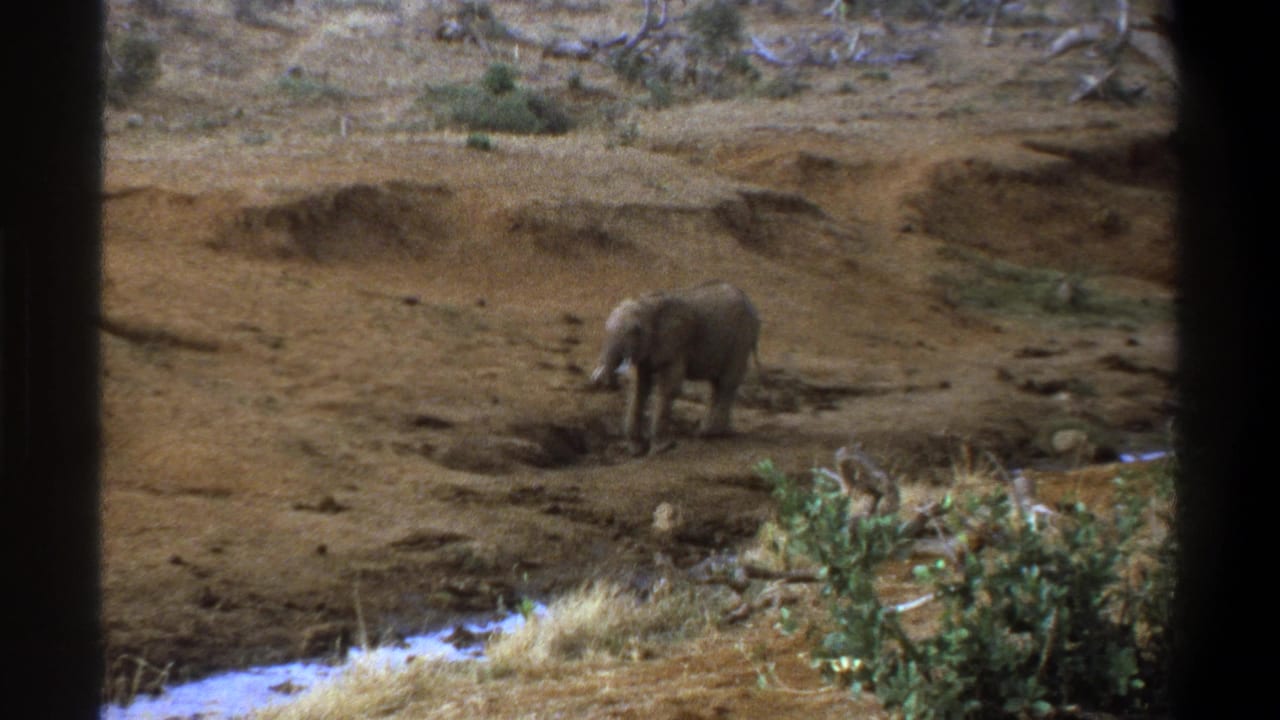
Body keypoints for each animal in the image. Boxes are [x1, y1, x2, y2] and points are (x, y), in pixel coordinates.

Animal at [590, 281, 760, 455]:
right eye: (606, 330)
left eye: (636, 331)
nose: (604, 383)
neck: (646, 305)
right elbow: (639, 387)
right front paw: (635, 450)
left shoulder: (676, 343)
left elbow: (669, 386)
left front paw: (661, 449)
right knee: (716, 384)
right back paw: (713, 432)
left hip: (741, 339)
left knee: (727, 382)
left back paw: (709, 434)